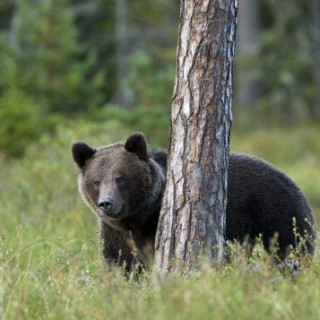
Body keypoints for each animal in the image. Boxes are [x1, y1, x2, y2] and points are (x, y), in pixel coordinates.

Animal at [72, 132, 316, 270]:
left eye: (120, 178)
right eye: (96, 181)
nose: (107, 203)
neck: (138, 218)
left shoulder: (155, 226)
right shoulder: (116, 234)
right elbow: (119, 263)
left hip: (276, 215)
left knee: (290, 250)